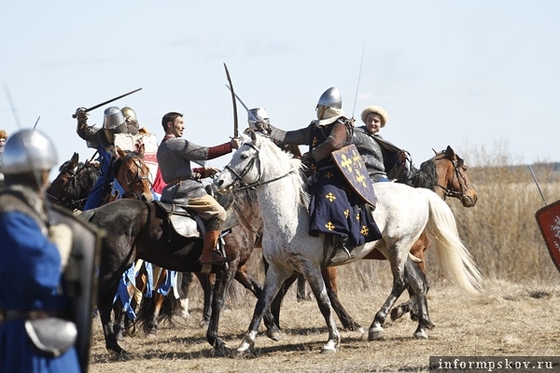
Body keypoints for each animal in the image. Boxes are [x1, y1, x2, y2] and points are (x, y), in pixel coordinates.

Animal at [213, 132, 482, 354]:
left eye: (244, 155)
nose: (218, 182)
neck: (289, 210)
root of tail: (418, 194)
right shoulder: (279, 269)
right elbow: (261, 303)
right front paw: (245, 344)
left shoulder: (309, 266)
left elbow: (323, 302)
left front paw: (332, 341)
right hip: (395, 249)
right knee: (413, 282)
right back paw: (414, 328)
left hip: (398, 248)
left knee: (402, 282)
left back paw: (378, 324)